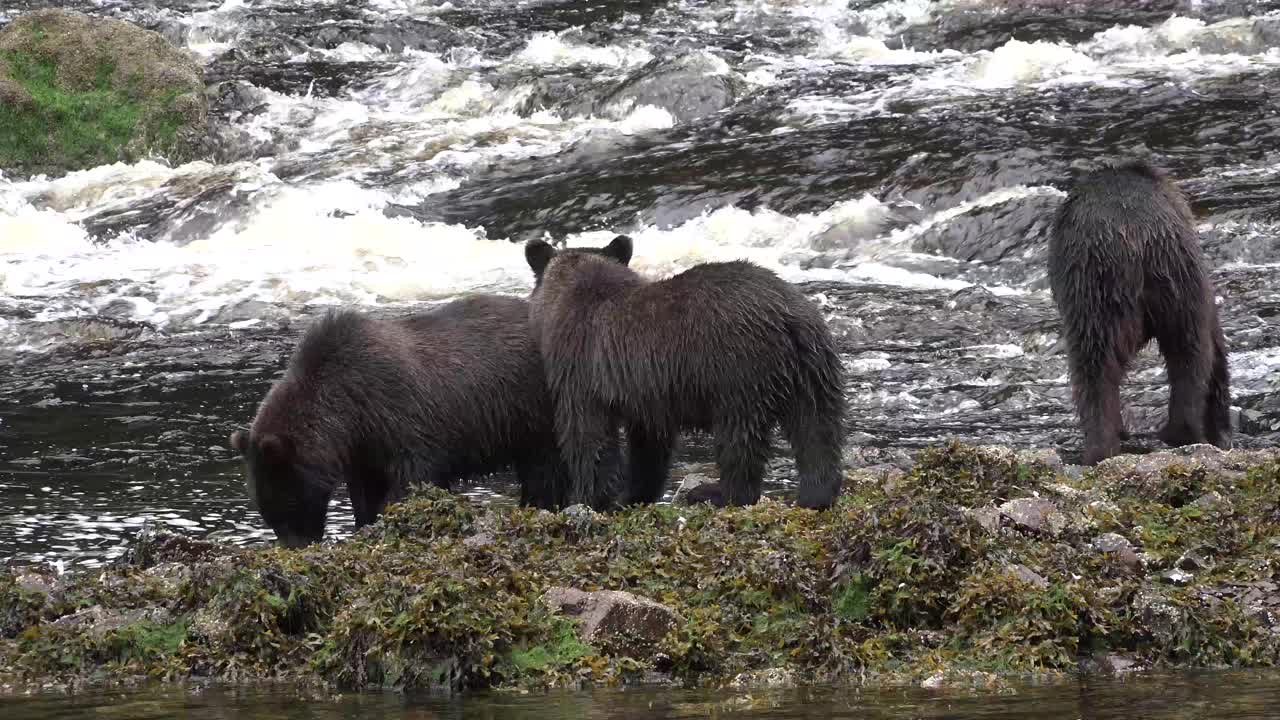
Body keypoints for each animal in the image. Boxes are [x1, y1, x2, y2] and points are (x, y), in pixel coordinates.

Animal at [524, 235, 844, 509]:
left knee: (740, 439)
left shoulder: (581, 368)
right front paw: (633, 494)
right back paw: (817, 494)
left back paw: (716, 493)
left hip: (738, 371)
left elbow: (588, 436)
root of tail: (790, 316)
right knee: (817, 430)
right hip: (813, 369)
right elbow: (650, 446)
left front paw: (586, 499)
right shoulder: (646, 391)